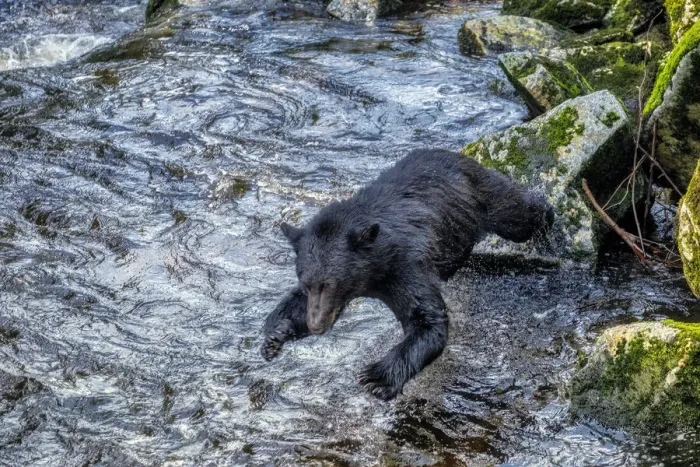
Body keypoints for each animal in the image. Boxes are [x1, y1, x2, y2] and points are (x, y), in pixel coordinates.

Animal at [260, 148, 554, 400]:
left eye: (332, 284)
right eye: (307, 284)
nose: (316, 326)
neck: (375, 269)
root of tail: (458, 154)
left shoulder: (405, 267)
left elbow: (427, 320)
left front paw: (377, 378)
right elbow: (295, 305)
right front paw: (276, 333)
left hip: (483, 198)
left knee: (518, 214)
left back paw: (548, 223)